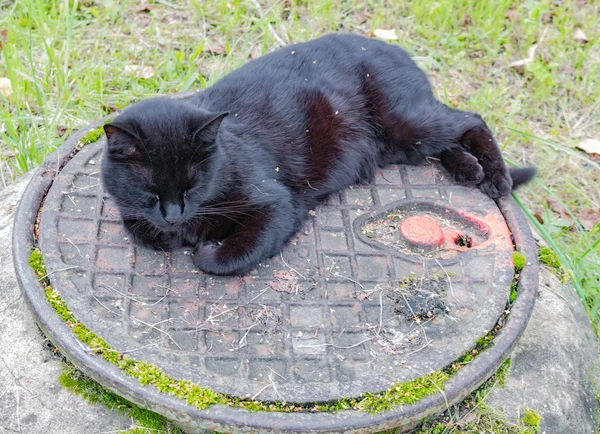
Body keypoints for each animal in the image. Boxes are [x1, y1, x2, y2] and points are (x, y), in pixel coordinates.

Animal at [102, 33, 536, 274]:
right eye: (151, 191)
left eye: (191, 187)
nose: (173, 214)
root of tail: (395, 48)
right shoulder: (131, 212)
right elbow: (138, 227)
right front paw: (170, 234)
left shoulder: (277, 204)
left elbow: (232, 255)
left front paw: (206, 249)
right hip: (404, 144)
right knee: (450, 138)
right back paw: (469, 169)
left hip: (407, 123)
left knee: (469, 118)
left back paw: (496, 177)